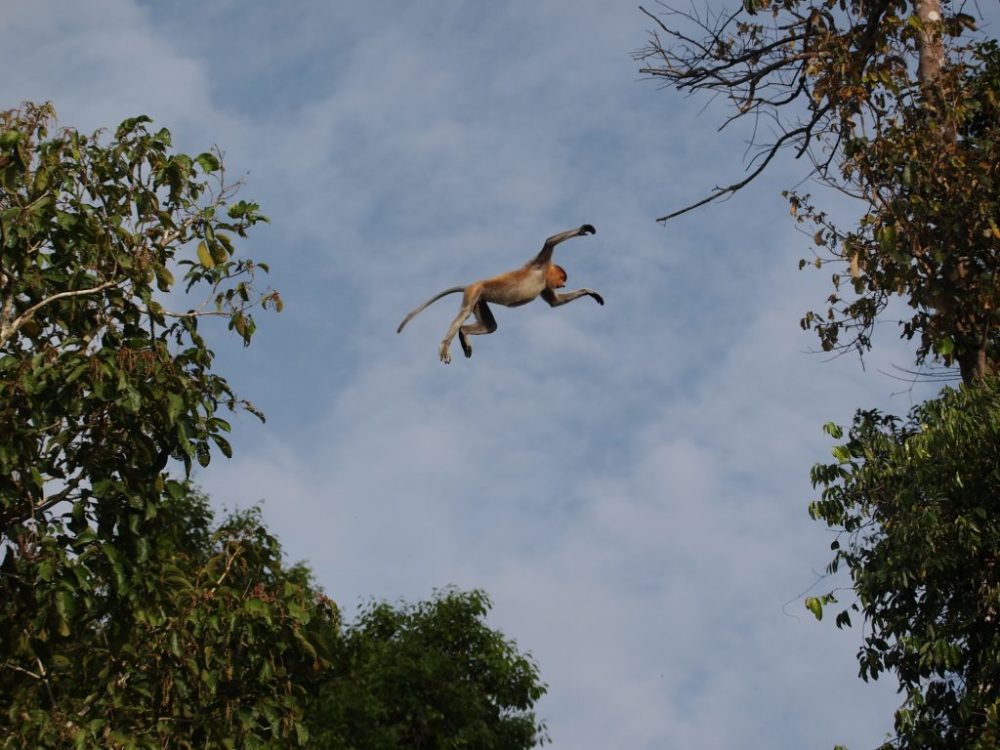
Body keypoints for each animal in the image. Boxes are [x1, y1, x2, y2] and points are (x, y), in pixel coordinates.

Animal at [396, 223, 600, 364]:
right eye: (562, 278)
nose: (563, 285)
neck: (543, 274)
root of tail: (470, 284)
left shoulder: (544, 284)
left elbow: (554, 302)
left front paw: (590, 292)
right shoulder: (540, 264)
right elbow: (550, 241)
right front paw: (584, 229)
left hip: (480, 300)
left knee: (490, 326)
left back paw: (464, 334)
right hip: (475, 291)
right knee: (465, 313)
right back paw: (447, 344)